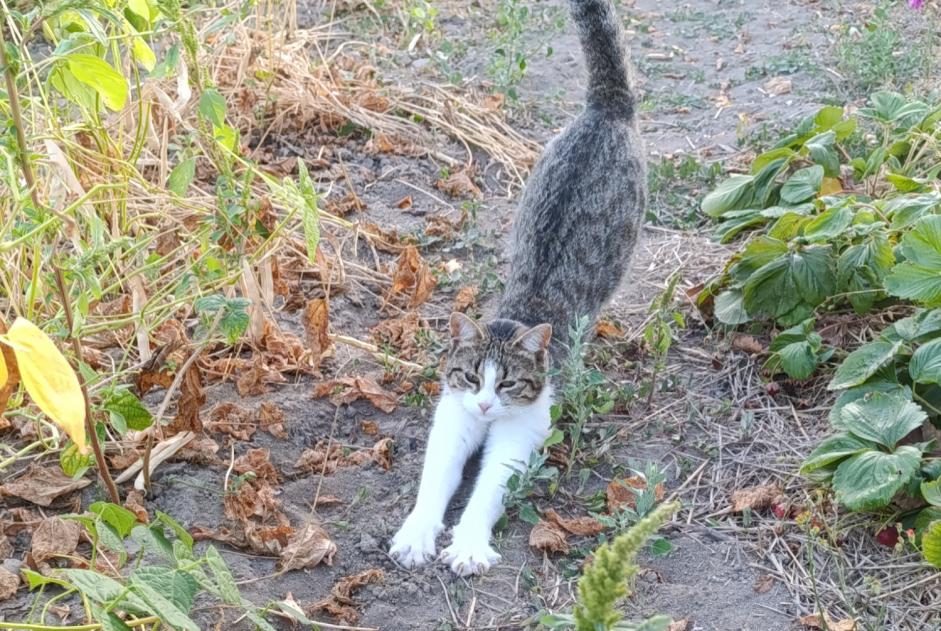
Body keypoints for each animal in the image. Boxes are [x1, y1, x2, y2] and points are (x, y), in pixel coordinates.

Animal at [386, 0, 644, 576]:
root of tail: (606, 108)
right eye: (469, 377)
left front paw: (467, 545)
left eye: (507, 385)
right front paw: (416, 535)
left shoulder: (519, 434)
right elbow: (432, 485)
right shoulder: (451, 419)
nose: (485, 406)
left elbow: (486, 492)